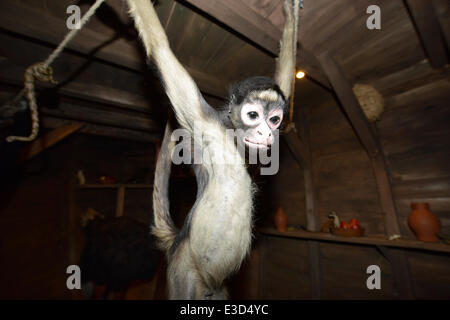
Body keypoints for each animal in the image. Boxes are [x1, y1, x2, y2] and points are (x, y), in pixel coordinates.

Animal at [125, 0, 298, 300]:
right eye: (253, 115)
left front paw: (290, 15)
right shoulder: (208, 125)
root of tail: (178, 241)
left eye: (274, 119)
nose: (266, 133)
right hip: (184, 272)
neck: (235, 144)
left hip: (215, 290)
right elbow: (160, 50)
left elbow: (284, 79)